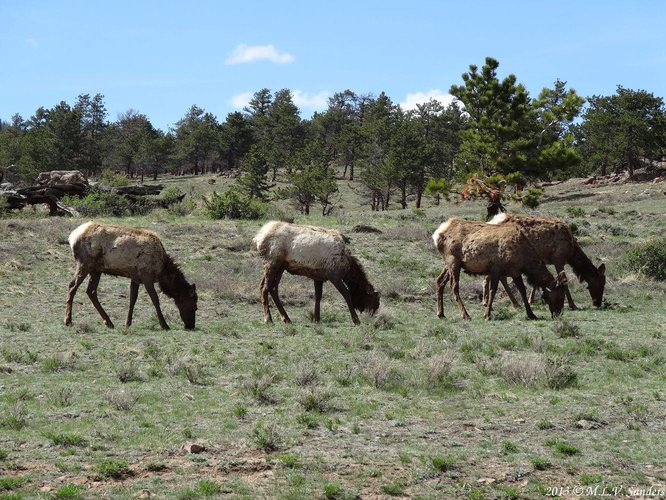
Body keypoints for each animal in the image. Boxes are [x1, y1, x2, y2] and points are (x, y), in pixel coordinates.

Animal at [63, 221, 196, 330]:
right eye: (193, 306)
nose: (191, 325)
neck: (162, 270)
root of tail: (72, 237)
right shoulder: (147, 276)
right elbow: (155, 299)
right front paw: (164, 325)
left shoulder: (135, 277)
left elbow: (133, 299)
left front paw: (128, 323)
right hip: (85, 264)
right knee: (72, 286)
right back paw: (68, 321)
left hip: (96, 270)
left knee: (90, 291)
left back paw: (108, 322)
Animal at [430, 219, 564, 320]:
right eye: (559, 296)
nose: (558, 314)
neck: (525, 260)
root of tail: (437, 234)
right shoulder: (496, 268)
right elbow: (493, 290)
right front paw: (487, 315)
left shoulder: (515, 272)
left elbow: (522, 290)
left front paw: (531, 314)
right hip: (453, 261)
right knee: (454, 286)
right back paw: (465, 315)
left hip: (448, 264)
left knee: (440, 281)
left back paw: (440, 313)